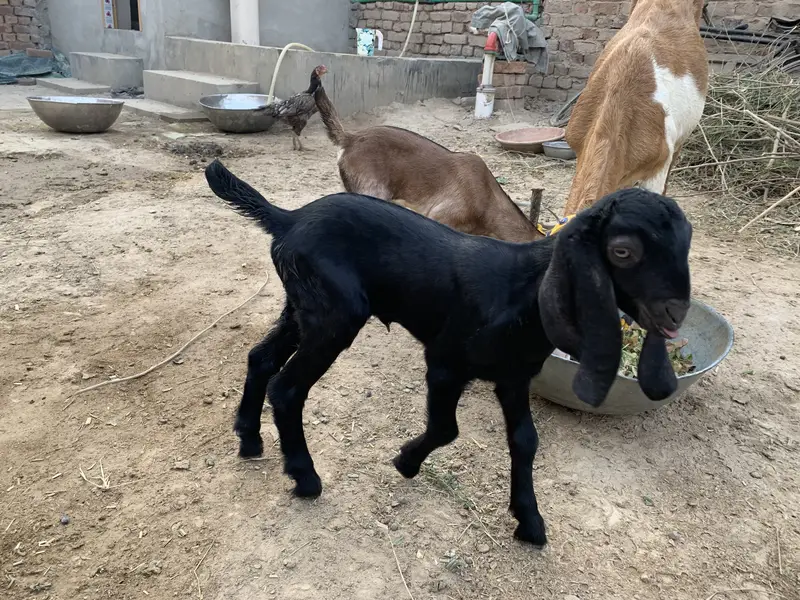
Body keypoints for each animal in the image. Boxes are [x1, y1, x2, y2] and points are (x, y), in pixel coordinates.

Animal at [205, 159, 693, 546]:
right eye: (623, 251)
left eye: (686, 245)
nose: (677, 312)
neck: (522, 290)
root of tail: (288, 219)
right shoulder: (445, 364)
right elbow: (445, 428)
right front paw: (405, 461)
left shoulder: (513, 377)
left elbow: (525, 440)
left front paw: (530, 521)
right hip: (334, 317)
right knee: (287, 388)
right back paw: (305, 477)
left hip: (303, 308)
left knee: (260, 359)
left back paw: (249, 439)